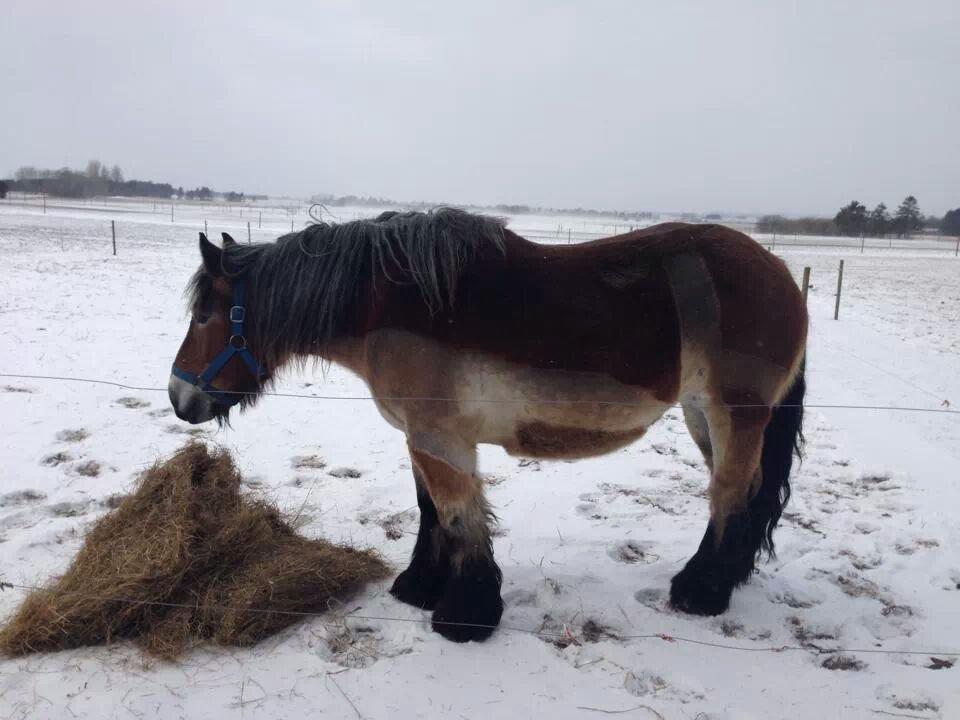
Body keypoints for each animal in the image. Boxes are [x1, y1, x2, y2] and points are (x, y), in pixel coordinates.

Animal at [169, 208, 808, 640]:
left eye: (203, 315)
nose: (179, 398)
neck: (391, 306)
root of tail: (779, 272)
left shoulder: (440, 437)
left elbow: (458, 513)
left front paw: (466, 614)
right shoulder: (420, 436)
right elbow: (431, 511)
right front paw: (420, 587)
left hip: (733, 415)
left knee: (728, 494)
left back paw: (701, 591)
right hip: (703, 417)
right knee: (748, 493)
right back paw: (729, 577)